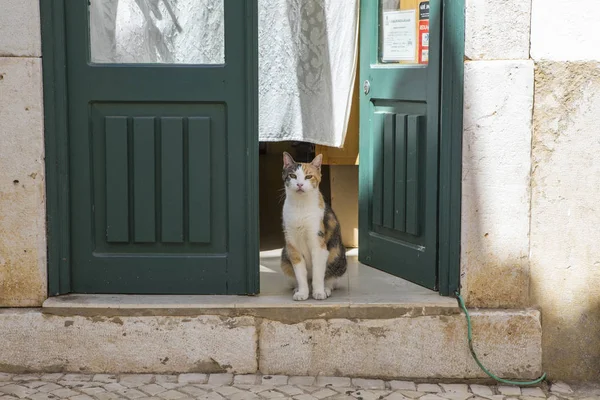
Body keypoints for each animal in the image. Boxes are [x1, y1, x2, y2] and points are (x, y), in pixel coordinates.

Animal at [280, 151, 346, 300]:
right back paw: (298, 288)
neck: (300, 206)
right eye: (292, 176)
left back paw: (326, 289)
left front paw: (319, 292)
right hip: (285, 258)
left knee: (330, 278)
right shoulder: (292, 245)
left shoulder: (318, 244)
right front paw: (302, 293)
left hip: (336, 254)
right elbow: (300, 273)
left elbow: (318, 273)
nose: (299, 184)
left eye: (309, 176)